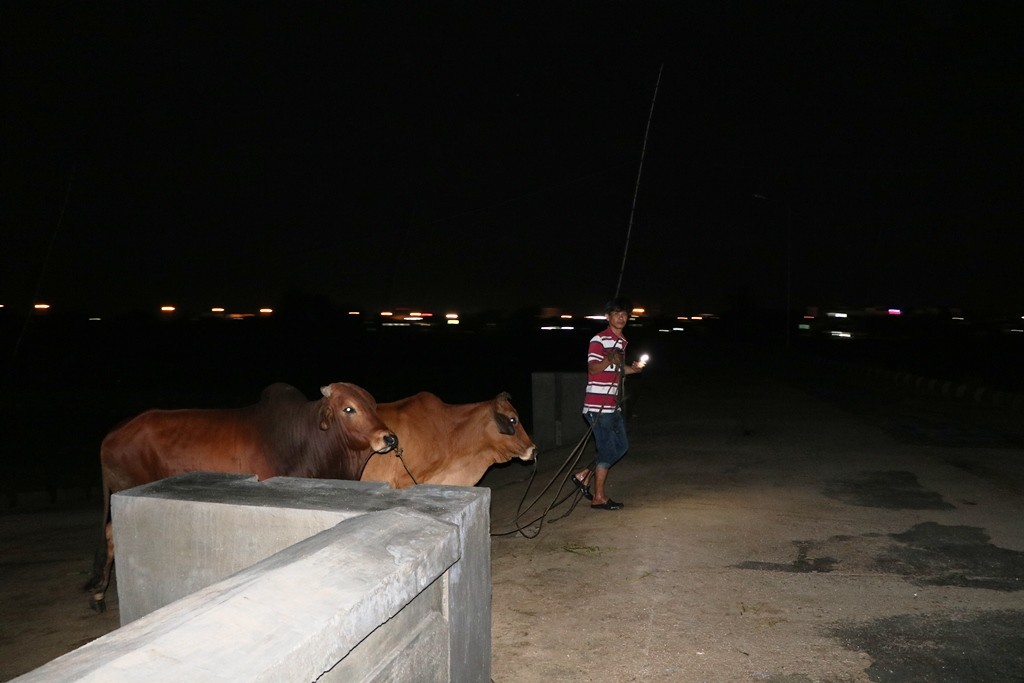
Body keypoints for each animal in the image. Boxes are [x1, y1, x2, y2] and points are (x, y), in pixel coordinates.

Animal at [86, 382, 397, 610]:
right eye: (349, 408)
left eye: (372, 405)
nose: (389, 438)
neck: (303, 440)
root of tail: (114, 433)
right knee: (112, 532)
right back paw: (100, 592)